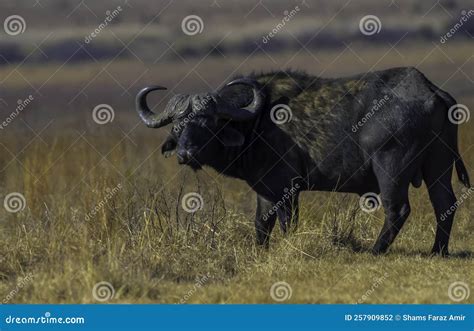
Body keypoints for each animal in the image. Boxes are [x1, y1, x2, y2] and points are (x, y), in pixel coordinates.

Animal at [136, 66, 470, 255]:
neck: (256, 122)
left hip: (391, 169)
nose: (185, 154)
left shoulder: (286, 188)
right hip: (438, 167)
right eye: (177, 124)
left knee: (397, 210)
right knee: (445, 204)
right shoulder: (266, 189)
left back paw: (376, 251)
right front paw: (261, 252)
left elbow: (286, 223)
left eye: (208, 122)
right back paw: (438, 251)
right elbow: (261, 223)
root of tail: (431, 90)